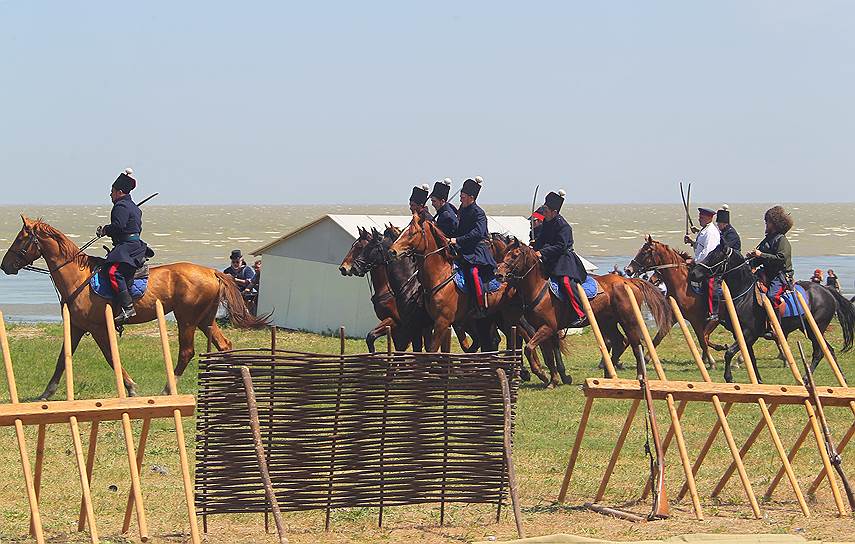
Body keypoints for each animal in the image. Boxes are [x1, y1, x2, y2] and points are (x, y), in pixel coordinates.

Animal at [1, 216, 270, 400]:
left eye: (20, 238)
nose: (5, 265)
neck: (78, 277)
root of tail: (211, 271)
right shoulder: (77, 326)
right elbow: (62, 359)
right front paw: (47, 393)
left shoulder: (98, 328)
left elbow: (110, 356)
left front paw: (130, 387)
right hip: (205, 319)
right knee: (224, 345)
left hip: (187, 319)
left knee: (186, 352)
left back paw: (168, 388)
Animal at [494, 238, 676, 374]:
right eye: (505, 254)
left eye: (515, 255)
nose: (498, 274)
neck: (538, 287)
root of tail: (629, 281)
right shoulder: (544, 328)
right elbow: (547, 353)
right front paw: (556, 377)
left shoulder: (547, 327)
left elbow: (531, 348)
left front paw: (543, 374)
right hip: (608, 322)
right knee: (620, 342)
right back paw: (609, 372)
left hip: (628, 321)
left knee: (635, 345)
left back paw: (637, 375)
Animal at [624, 235, 724, 368]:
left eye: (644, 252)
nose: (628, 269)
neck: (682, 285)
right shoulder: (673, 316)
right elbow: (658, 337)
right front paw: (646, 359)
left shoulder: (695, 319)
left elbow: (702, 340)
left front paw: (711, 362)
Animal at [688, 242, 855, 382]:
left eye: (715, 256)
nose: (693, 273)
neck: (744, 295)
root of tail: (827, 291)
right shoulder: (742, 335)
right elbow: (750, 358)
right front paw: (758, 381)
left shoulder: (748, 333)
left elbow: (729, 352)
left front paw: (729, 377)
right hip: (809, 328)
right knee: (829, 350)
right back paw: (841, 377)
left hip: (815, 328)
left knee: (820, 352)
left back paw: (806, 379)